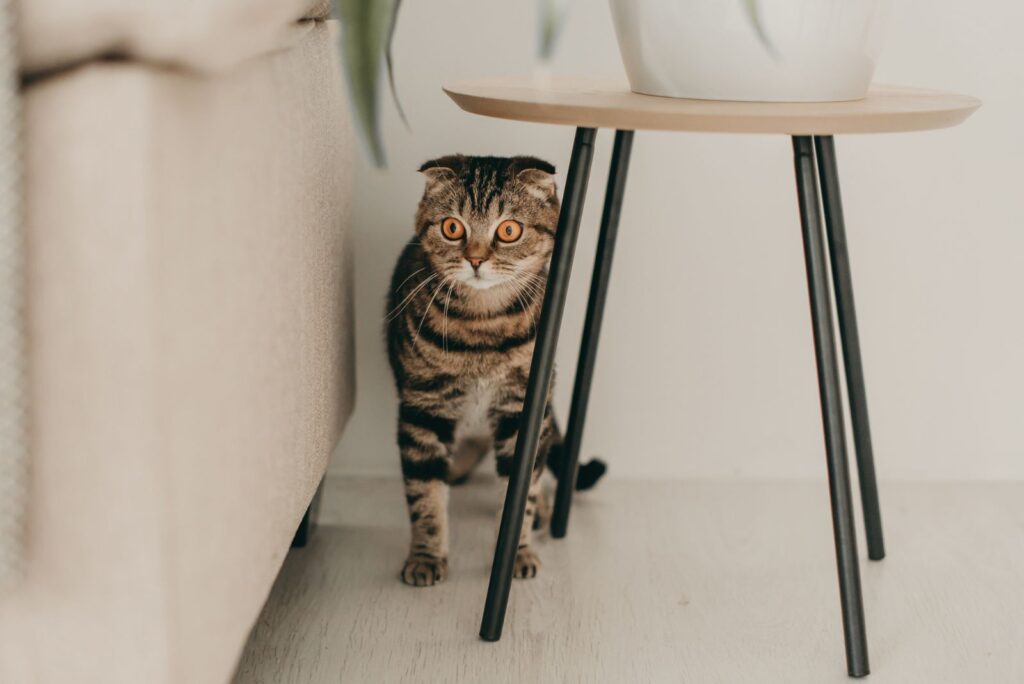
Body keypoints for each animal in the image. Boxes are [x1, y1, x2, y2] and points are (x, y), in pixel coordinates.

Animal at [387, 154, 602, 589]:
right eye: (453, 227)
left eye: (509, 230)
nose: (475, 258)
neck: (482, 329)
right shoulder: (422, 408)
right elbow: (424, 494)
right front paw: (426, 556)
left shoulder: (522, 408)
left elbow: (522, 493)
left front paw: (517, 551)